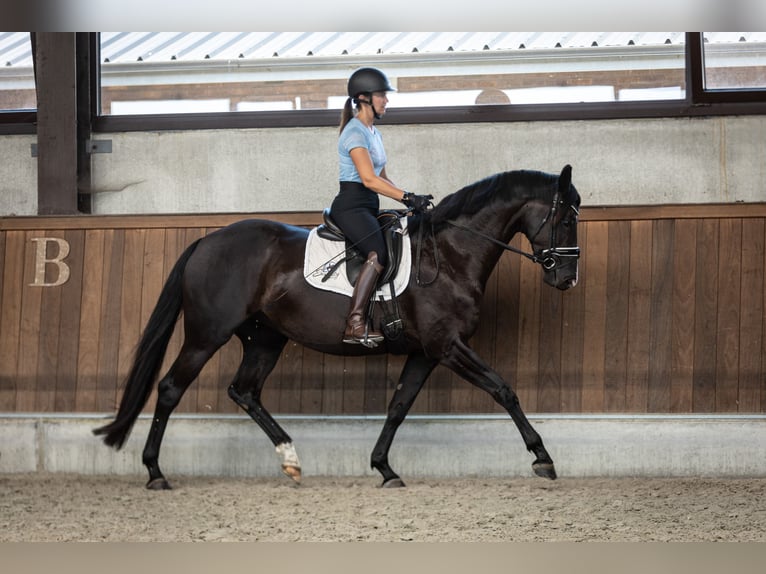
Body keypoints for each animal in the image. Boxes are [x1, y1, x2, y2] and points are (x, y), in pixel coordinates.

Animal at [93, 164, 581, 489]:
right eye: (564, 218)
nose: (567, 279)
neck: (447, 255)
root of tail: (206, 241)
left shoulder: (425, 351)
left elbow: (398, 406)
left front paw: (384, 468)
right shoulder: (447, 345)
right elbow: (503, 389)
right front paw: (543, 458)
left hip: (265, 338)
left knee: (245, 391)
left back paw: (290, 459)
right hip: (206, 334)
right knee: (171, 388)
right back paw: (155, 472)